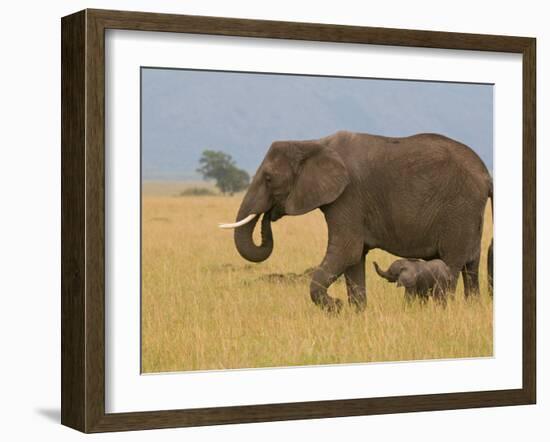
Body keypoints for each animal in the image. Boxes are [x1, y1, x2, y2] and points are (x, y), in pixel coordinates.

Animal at [218, 129, 494, 312]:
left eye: (268, 178)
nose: (270, 214)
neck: (312, 144)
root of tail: (486, 174)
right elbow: (354, 259)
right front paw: (356, 313)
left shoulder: (348, 196)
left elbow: (346, 252)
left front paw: (337, 307)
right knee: (471, 266)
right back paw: (472, 308)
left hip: (459, 210)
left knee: (451, 264)